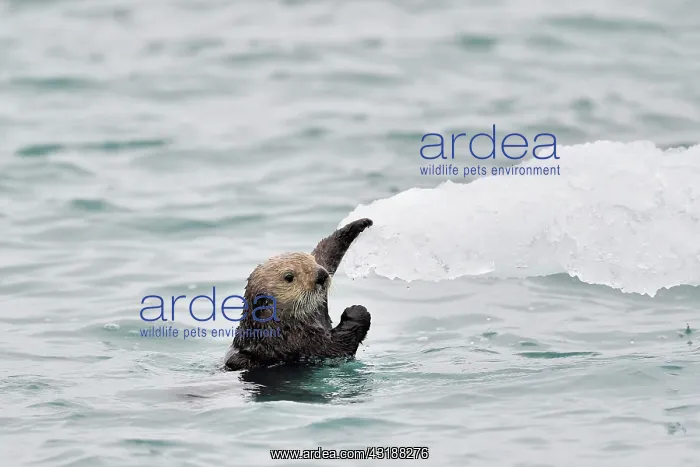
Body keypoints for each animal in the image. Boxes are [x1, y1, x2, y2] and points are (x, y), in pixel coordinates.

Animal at [224, 218, 373, 371]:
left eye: (312, 261)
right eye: (289, 277)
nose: (321, 275)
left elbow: (326, 251)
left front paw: (360, 223)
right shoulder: (297, 343)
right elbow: (336, 347)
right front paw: (357, 311)